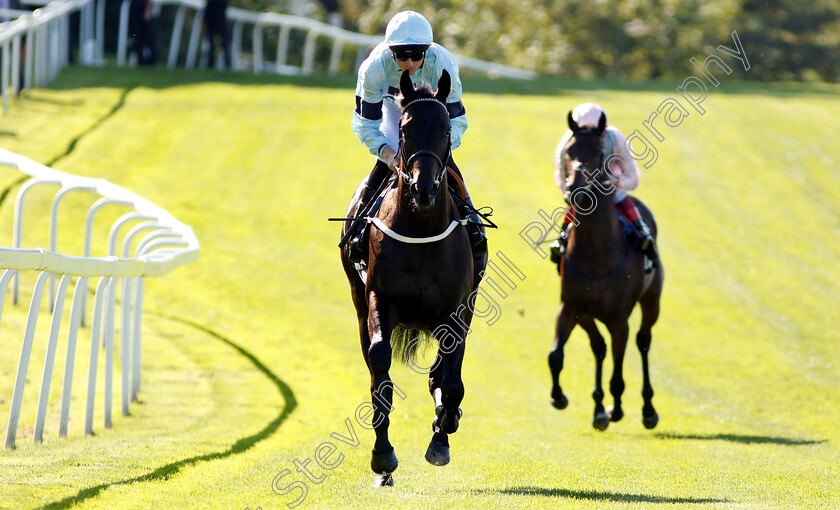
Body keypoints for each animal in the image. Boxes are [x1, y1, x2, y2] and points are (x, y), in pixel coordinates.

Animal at [338, 69, 482, 488]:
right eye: (404, 129)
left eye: (446, 130)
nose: (424, 188)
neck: (420, 229)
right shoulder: (379, 299)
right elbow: (380, 369)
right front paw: (382, 456)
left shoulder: (456, 311)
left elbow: (450, 382)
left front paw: (442, 436)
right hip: (358, 303)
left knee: (441, 375)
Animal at [552, 110, 664, 430]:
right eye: (569, 151)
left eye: (599, 152)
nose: (575, 189)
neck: (595, 254)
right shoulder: (572, 307)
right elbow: (556, 355)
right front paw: (559, 397)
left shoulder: (618, 317)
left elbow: (619, 366)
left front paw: (618, 407)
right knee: (600, 346)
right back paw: (600, 408)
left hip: (652, 301)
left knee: (643, 342)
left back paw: (646, 409)